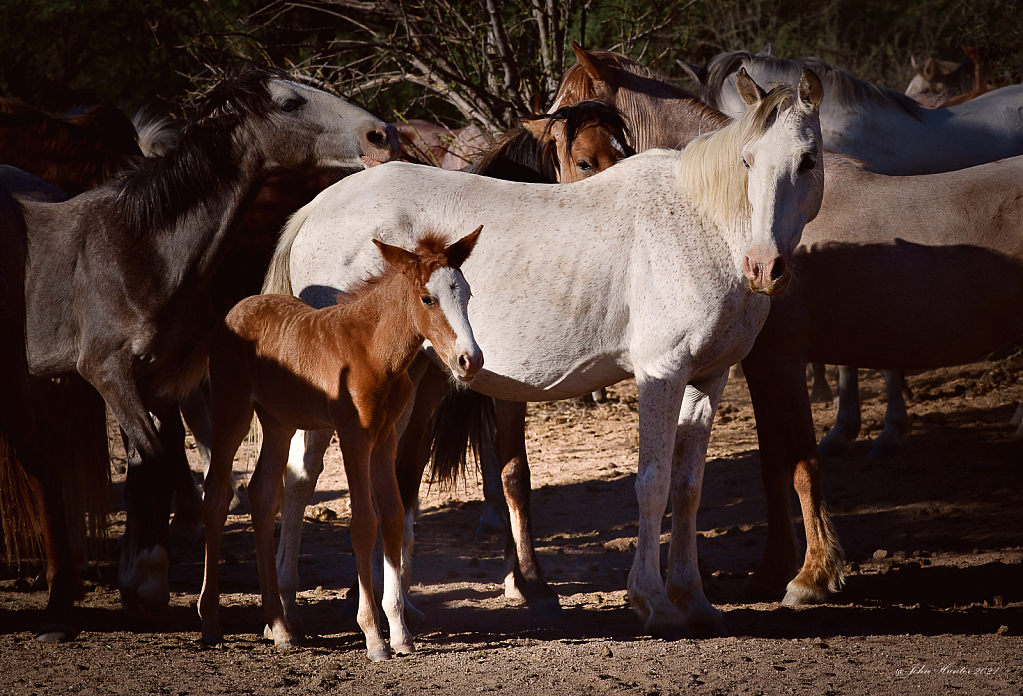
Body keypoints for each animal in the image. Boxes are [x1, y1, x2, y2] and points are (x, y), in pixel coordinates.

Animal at [7, 68, 398, 638]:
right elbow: (156, 457)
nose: (382, 135)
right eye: (289, 102)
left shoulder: (151, 379)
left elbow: (148, 464)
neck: (137, 246)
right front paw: (148, 581)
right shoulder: (106, 373)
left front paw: (141, 581)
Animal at [202, 228, 482, 659]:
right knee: (216, 495)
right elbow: (364, 523)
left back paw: (280, 627)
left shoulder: (385, 437)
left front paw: (400, 633)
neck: (372, 350)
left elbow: (393, 515)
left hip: (279, 423)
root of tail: (238, 309)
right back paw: (211, 623)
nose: (470, 360)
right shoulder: (354, 435)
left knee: (262, 495)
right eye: (427, 299)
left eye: (466, 293)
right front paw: (373, 637)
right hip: (230, 411)